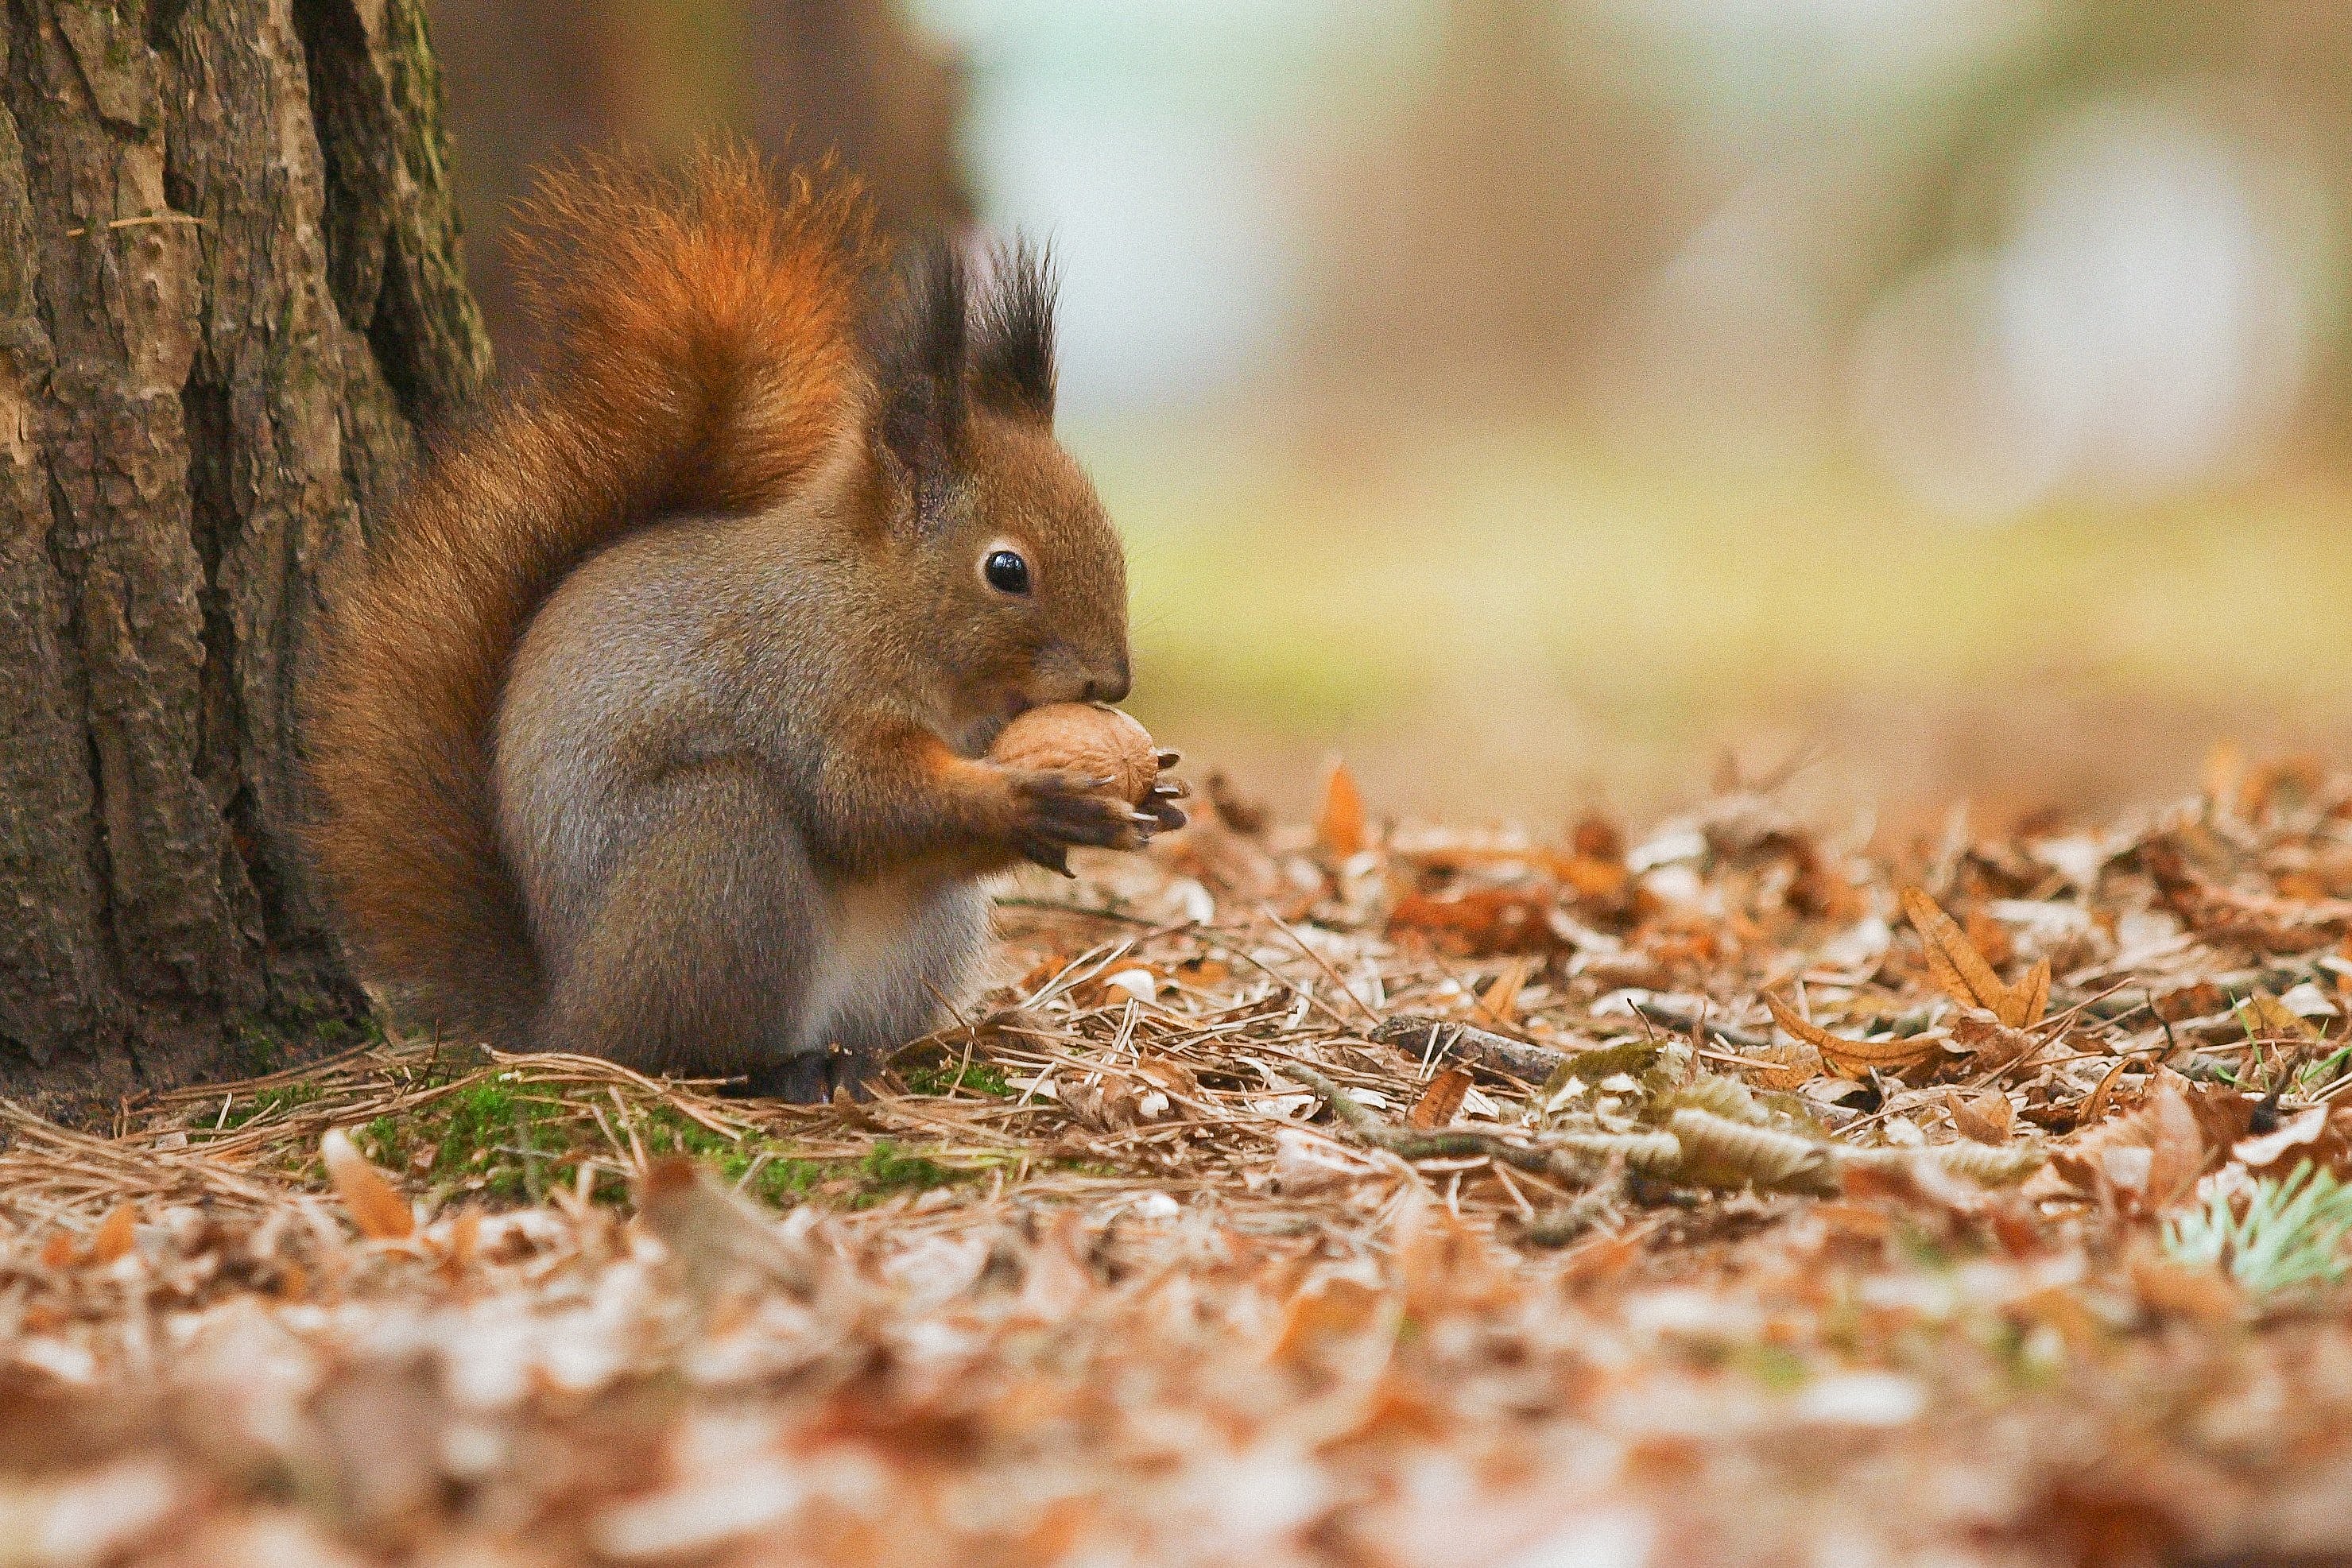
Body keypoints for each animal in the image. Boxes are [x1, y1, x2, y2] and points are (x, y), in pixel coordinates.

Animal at [310, 150, 1185, 1105]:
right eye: (1006, 570)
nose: (1114, 682)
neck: (874, 600)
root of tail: (558, 1017)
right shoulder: (803, 682)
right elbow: (860, 801)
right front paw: (1032, 798)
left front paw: (1150, 795)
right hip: (718, 862)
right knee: (682, 1042)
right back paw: (778, 1068)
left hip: (914, 943)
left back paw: (852, 1059)